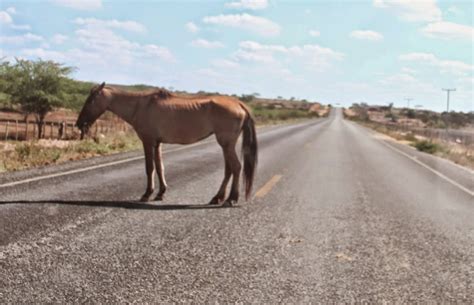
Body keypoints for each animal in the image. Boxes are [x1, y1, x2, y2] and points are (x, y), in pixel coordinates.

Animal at [76, 82, 258, 205]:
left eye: (90, 100)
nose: (79, 124)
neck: (140, 106)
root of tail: (239, 104)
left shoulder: (148, 141)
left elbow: (149, 168)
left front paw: (147, 194)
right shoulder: (158, 143)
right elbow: (159, 167)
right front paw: (160, 193)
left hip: (226, 144)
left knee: (236, 167)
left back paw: (231, 199)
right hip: (226, 145)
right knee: (229, 170)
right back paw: (218, 197)